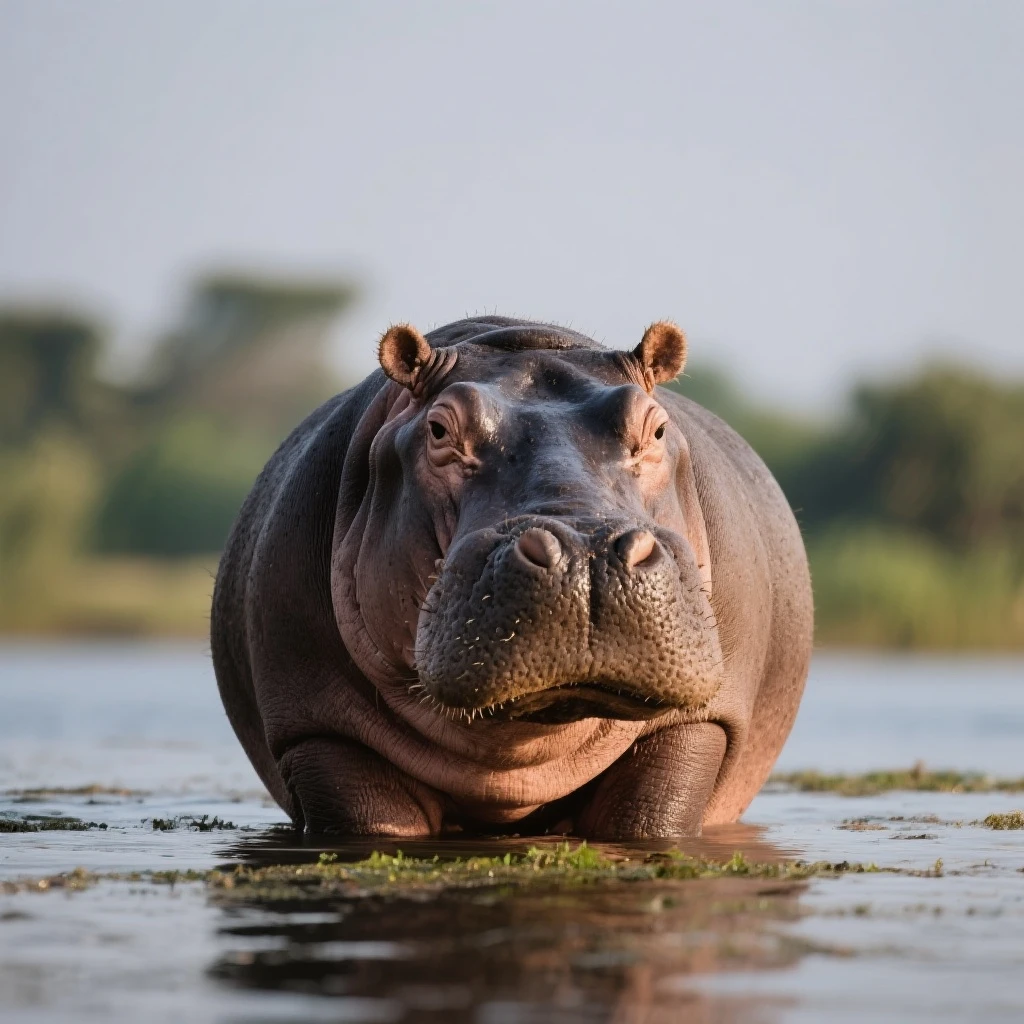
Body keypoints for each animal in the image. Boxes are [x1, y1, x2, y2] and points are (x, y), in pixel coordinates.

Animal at [211, 316, 812, 838]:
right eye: (438, 429)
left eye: (658, 427)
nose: (586, 551)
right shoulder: (322, 731)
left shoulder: (697, 725)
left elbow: (651, 815)